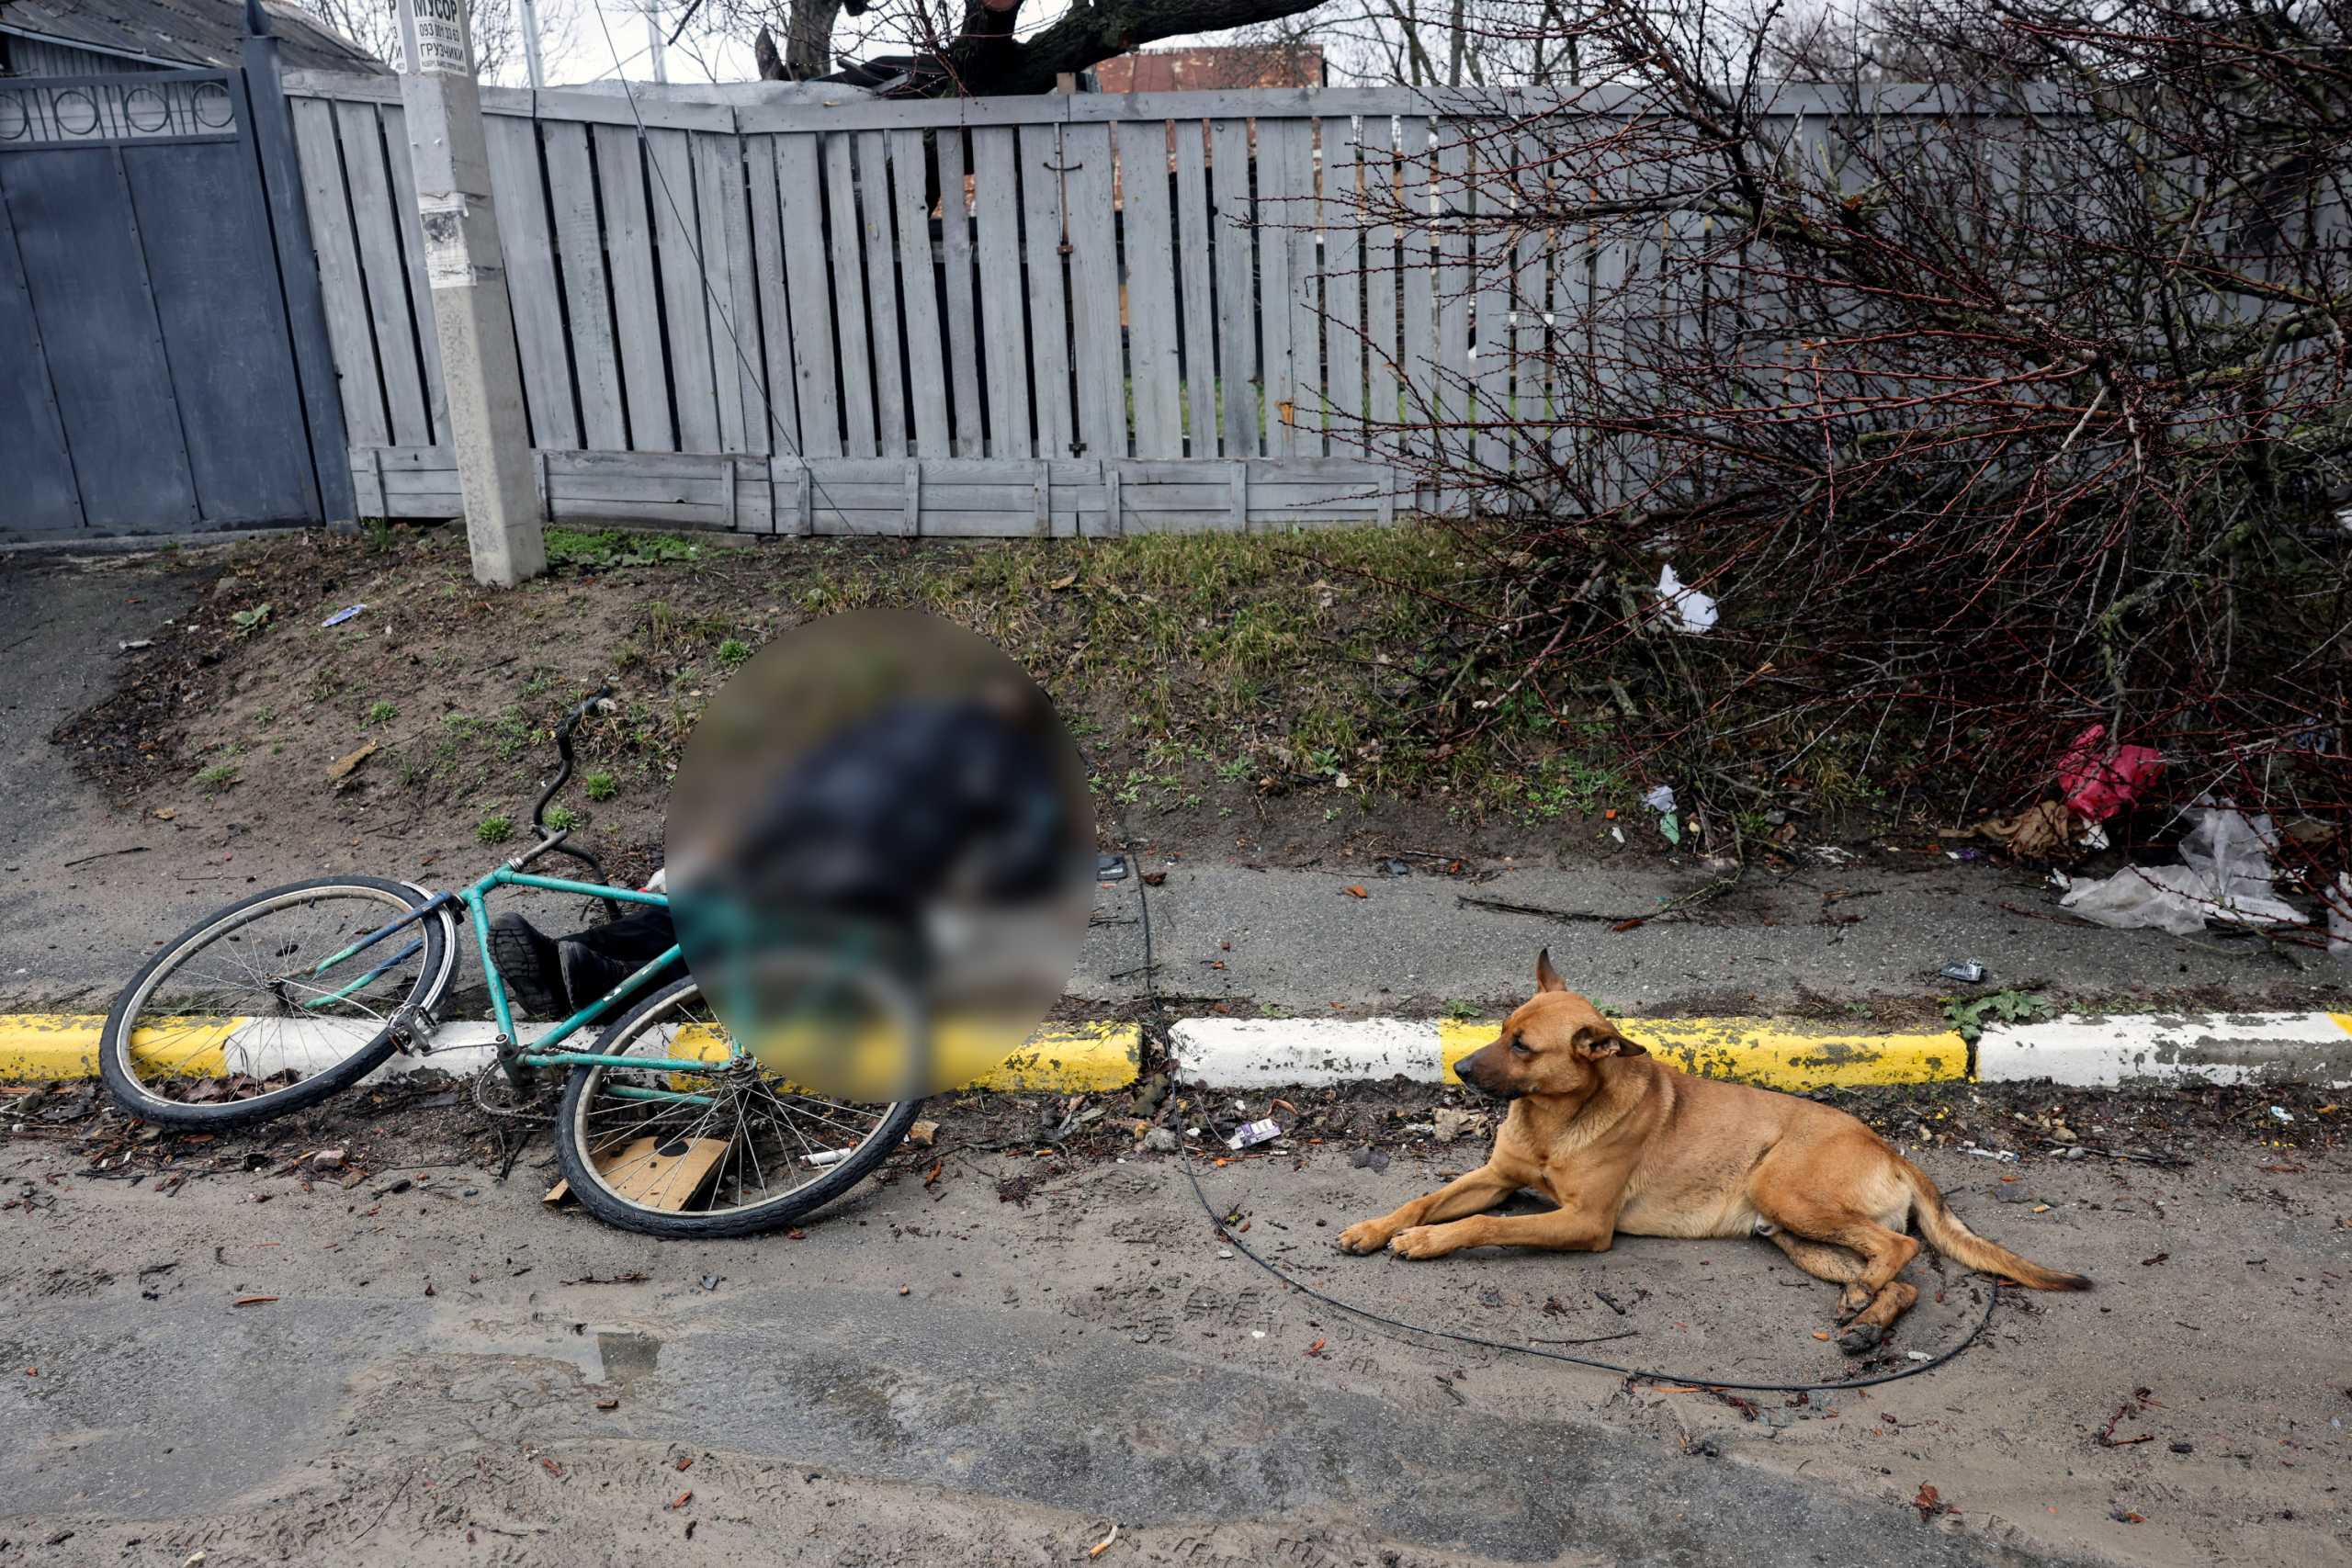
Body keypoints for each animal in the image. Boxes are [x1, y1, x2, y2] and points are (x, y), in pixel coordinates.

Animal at [1345, 949, 2098, 1354]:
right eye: (1504, 1029)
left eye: (1523, 1047)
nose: (1460, 1069)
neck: (1556, 1119)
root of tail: (1887, 1145)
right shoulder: (1496, 1176)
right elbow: (1427, 1198)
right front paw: (1376, 1227)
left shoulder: (1584, 1223)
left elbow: (1477, 1223)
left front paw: (1423, 1243)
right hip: (1795, 1234)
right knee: (1902, 1275)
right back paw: (1866, 1315)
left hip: (1782, 1191)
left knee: (1904, 1247)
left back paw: (1867, 1302)